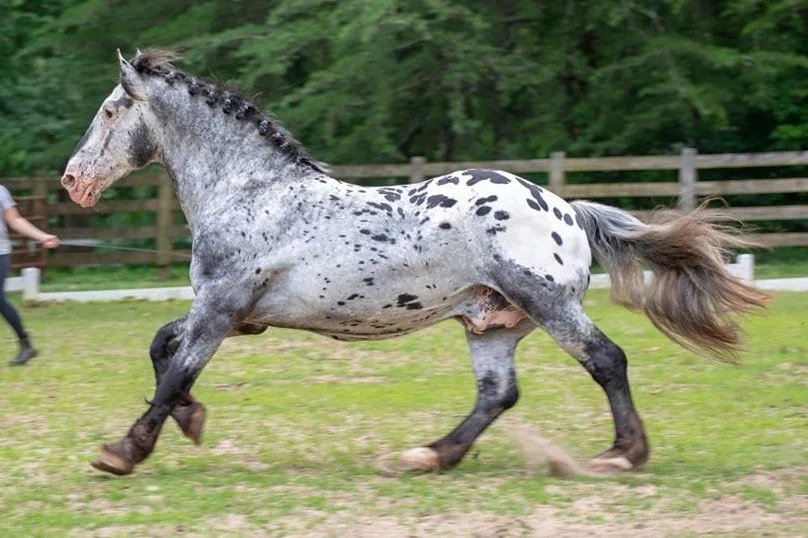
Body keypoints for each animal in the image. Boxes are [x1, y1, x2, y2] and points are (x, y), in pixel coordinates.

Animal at [61, 50, 768, 477]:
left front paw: (123, 451)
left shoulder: (221, 307)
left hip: (546, 304)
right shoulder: (235, 314)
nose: (72, 181)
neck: (251, 191)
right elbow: (162, 349)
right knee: (498, 393)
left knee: (606, 360)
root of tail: (566, 209)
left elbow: (175, 368)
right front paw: (192, 422)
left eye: (108, 111)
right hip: (491, 322)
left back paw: (622, 455)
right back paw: (429, 455)